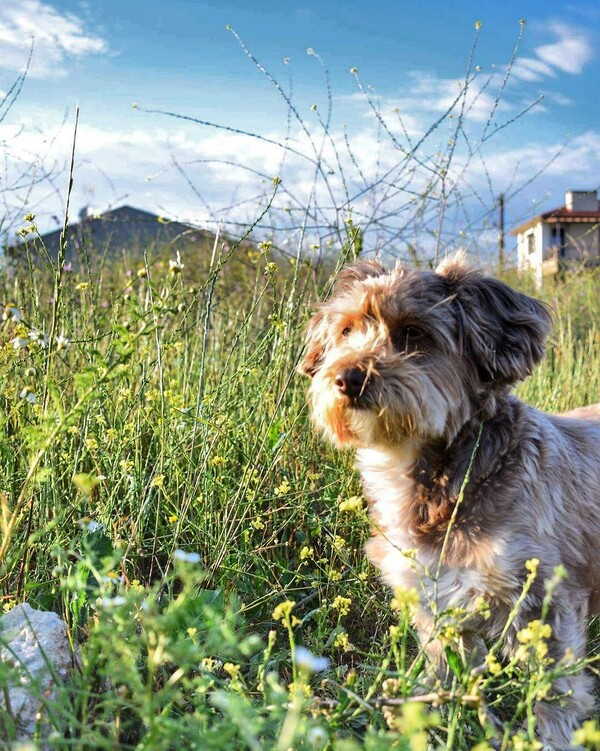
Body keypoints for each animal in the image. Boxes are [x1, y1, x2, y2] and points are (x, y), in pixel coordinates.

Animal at [300, 254, 600, 751]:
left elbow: (555, 691)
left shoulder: (547, 602)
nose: (346, 377)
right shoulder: (435, 601)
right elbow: (445, 671)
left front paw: (550, 738)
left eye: (413, 332)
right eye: (345, 330)